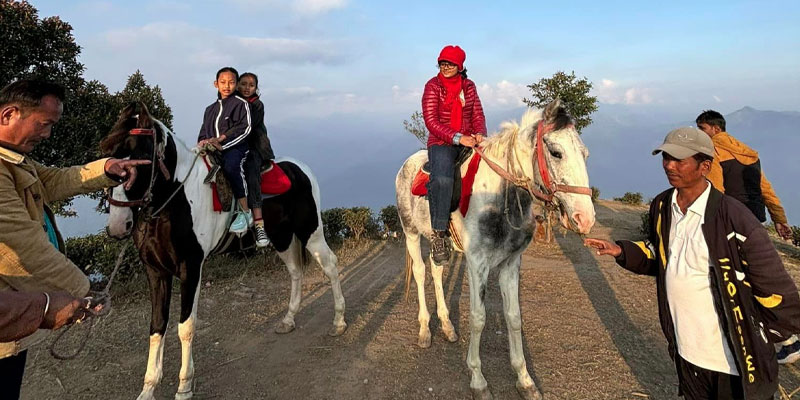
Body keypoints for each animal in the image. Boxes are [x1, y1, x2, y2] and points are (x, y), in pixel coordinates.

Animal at [102, 102, 346, 400]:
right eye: (110, 158)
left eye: (140, 156)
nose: (117, 225)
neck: (177, 199)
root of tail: (301, 169)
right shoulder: (156, 272)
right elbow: (157, 326)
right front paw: (148, 388)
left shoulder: (191, 268)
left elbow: (186, 327)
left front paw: (184, 386)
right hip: (282, 238)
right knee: (295, 272)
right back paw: (288, 319)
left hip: (310, 230)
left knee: (330, 265)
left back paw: (339, 322)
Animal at [395, 99, 595, 399]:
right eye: (556, 152)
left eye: (584, 153)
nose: (586, 218)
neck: (500, 196)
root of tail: (406, 165)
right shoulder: (477, 264)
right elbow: (479, 318)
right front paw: (478, 380)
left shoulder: (511, 263)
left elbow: (514, 317)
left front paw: (525, 380)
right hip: (410, 232)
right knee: (420, 273)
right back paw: (424, 330)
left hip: (435, 239)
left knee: (436, 269)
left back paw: (447, 326)